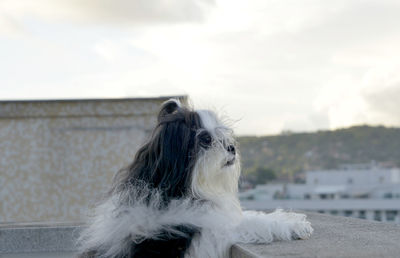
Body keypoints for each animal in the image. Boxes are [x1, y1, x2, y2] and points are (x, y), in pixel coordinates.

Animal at [78, 99, 312, 258]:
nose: (231, 147)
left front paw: (289, 218)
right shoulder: (208, 233)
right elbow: (249, 222)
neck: (176, 189)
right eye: (205, 139)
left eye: (223, 135)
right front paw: (292, 225)